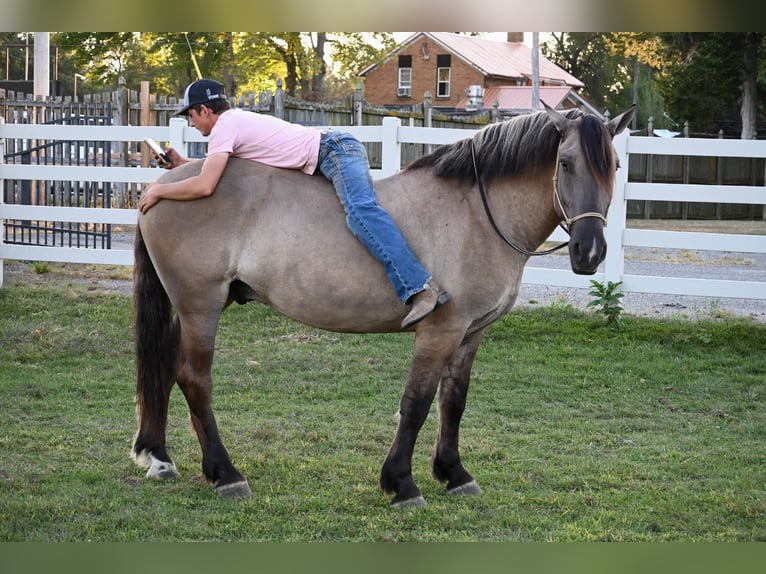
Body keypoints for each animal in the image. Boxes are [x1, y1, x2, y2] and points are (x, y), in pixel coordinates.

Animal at [132, 103, 636, 508]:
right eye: (565, 163)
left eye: (613, 165)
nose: (590, 252)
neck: (476, 213)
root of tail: (163, 185)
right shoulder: (441, 331)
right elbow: (417, 403)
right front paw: (402, 484)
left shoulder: (471, 334)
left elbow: (454, 402)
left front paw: (454, 474)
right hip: (201, 305)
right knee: (194, 379)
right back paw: (226, 474)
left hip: (193, 308)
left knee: (166, 368)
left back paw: (162, 457)